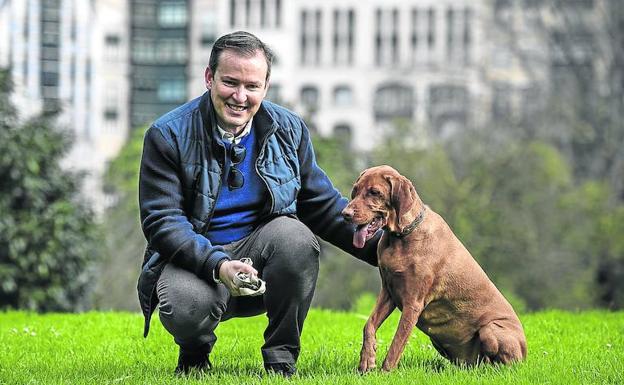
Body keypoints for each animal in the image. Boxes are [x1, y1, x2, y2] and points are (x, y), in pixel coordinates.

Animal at [342, 165, 528, 372]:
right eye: (355, 190)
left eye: (375, 192)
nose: (345, 214)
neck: (401, 236)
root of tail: (525, 353)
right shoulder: (388, 291)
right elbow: (369, 324)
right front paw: (367, 359)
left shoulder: (413, 303)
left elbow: (396, 344)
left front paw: (385, 373)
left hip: (492, 329)